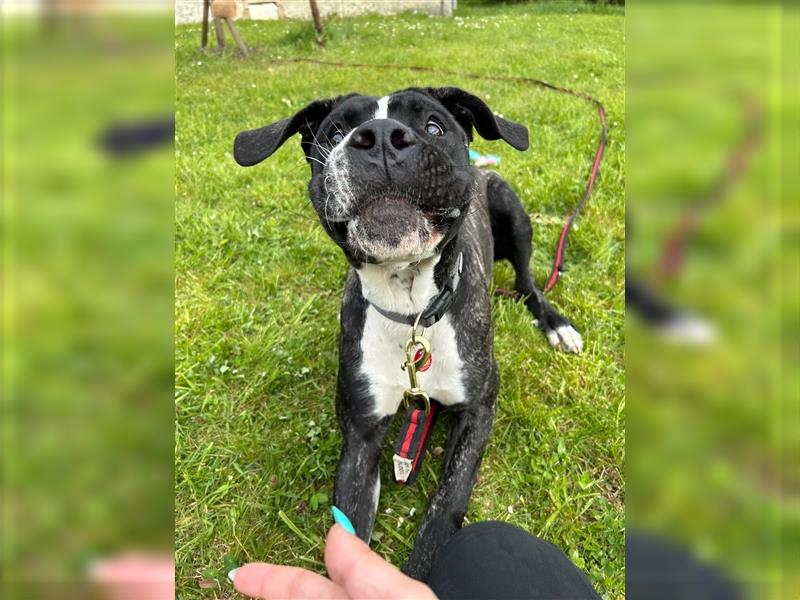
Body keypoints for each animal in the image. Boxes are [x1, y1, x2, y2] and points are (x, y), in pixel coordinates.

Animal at [231, 86, 580, 580]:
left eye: (433, 126)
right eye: (334, 133)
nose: (378, 136)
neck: (411, 309)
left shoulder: (479, 410)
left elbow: (445, 503)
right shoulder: (361, 438)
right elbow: (350, 534)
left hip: (513, 213)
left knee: (529, 281)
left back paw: (555, 324)